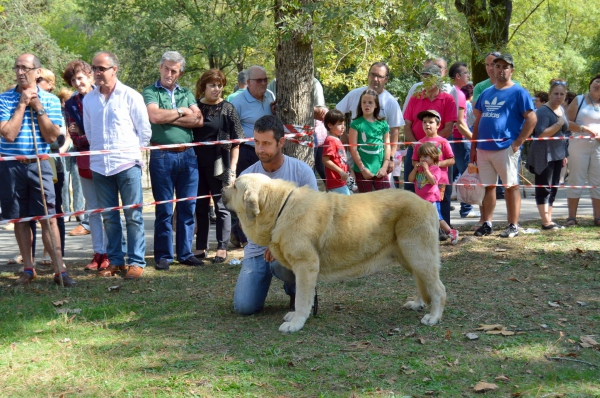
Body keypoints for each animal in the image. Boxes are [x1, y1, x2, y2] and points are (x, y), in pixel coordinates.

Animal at [223, 174, 448, 332]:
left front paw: (296, 322)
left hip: (418, 254)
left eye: (235, 186)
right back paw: (418, 304)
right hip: (409, 256)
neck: (279, 208)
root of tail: (427, 204)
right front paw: (294, 316)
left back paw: (434, 317)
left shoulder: (305, 265)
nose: (222, 189)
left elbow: (302, 298)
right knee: (423, 282)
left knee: (438, 288)